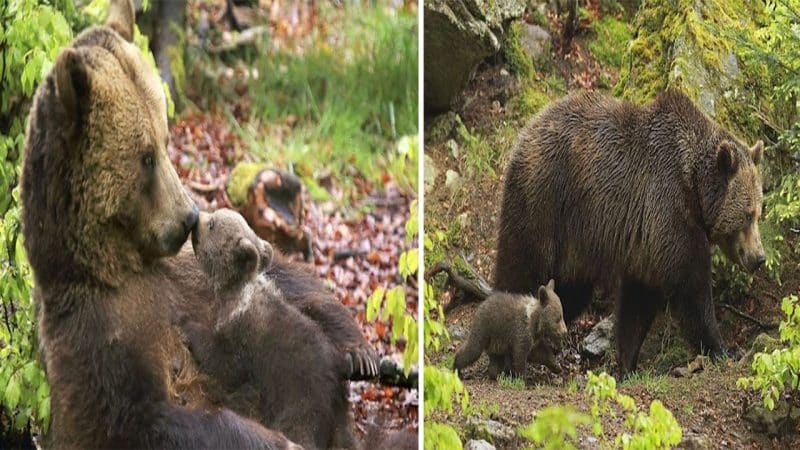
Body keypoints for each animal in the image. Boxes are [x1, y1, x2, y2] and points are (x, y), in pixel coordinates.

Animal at [180, 209, 358, 448]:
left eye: (212, 224)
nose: (196, 217)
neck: (235, 292)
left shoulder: (243, 334)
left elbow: (224, 362)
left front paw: (185, 323)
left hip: (302, 398)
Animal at [496, 89, 764, 374]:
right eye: (747, 214)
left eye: (760, 211)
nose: (759, 257)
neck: (694, 187)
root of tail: (527, 129)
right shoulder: (669, 207)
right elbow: (691, 286)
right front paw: (724, 348)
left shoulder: (647, 241)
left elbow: (638, 302)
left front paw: (627, 362)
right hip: (545, 200)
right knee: (522, 265)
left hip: (575, 242)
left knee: (569, 292)